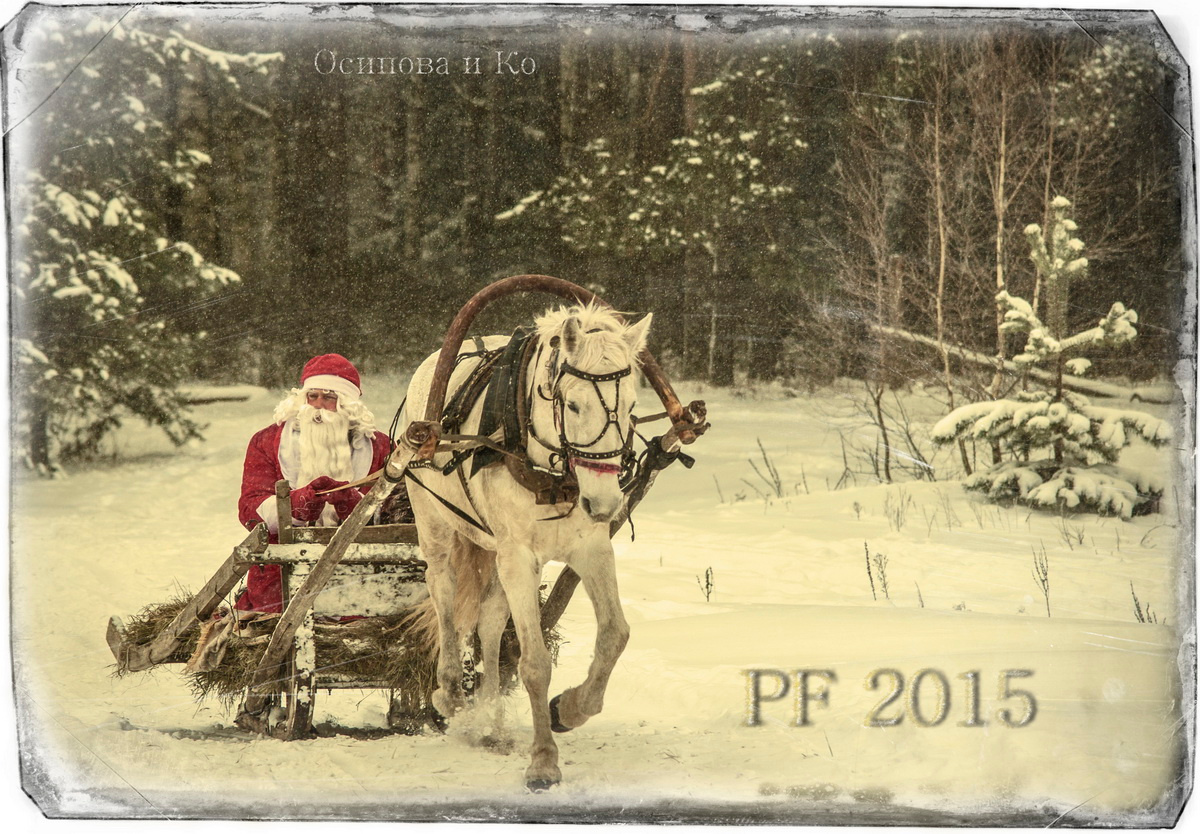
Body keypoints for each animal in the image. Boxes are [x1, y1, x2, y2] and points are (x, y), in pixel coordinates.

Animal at [402, 302, 652, 790]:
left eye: (632, 405)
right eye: (573, 404)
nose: (605, 504)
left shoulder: (590, 550)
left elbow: (615, 635)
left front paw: (570, 709)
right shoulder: (518, 557)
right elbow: (534, 661)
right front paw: (543, 761)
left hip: (494, 551)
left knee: (490, 620)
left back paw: (490, 721)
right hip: (437, 526)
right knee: (443, 595)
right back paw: (451, 692)